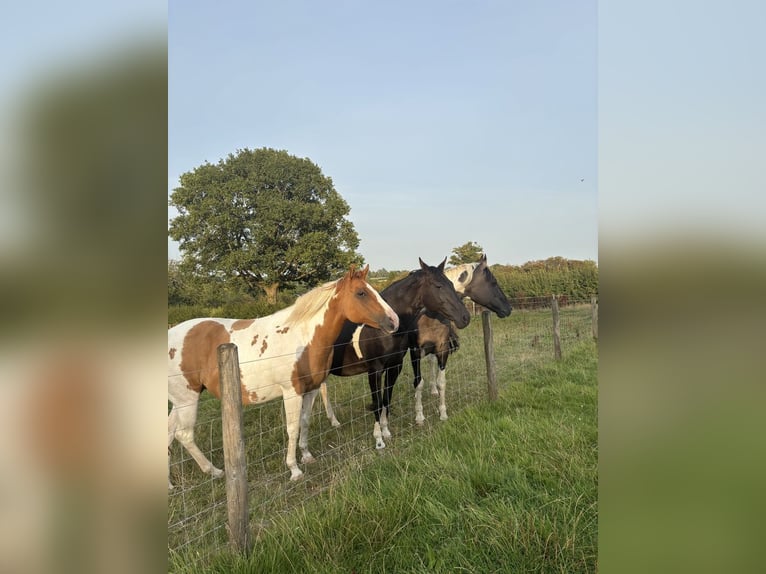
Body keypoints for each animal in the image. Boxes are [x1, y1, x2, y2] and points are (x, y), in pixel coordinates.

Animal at [167, 265, 399, 487]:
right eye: (361, 293)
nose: (394, 321)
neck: (302, 337)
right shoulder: (292, 393)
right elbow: (292, 428)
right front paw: (294, 469)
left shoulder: (311, 390)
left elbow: (305, 422)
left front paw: (306, 455)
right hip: (188, 400)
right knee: (184, 435)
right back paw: (214, 471)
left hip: (179, 402)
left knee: (169, 433)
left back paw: (170, 484)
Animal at [310, 258, 471, 450]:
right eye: (438, 285)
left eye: (451, 283)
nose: (465, 317)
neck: (384, 330)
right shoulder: (374, 371)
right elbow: (377, 403)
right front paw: (378, 440)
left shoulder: (395, 366)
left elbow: (386, 398)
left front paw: (386, 431)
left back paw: (334, 422)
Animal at [412, 254, 512, 423]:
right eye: (494, 282)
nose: (509, 308)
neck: (429, 316)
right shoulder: (415, 352)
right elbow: (418, 383)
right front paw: (419, 416)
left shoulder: (442, 349)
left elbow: (442, 382)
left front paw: (443, 413)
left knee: (432, 363)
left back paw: (433, 390)